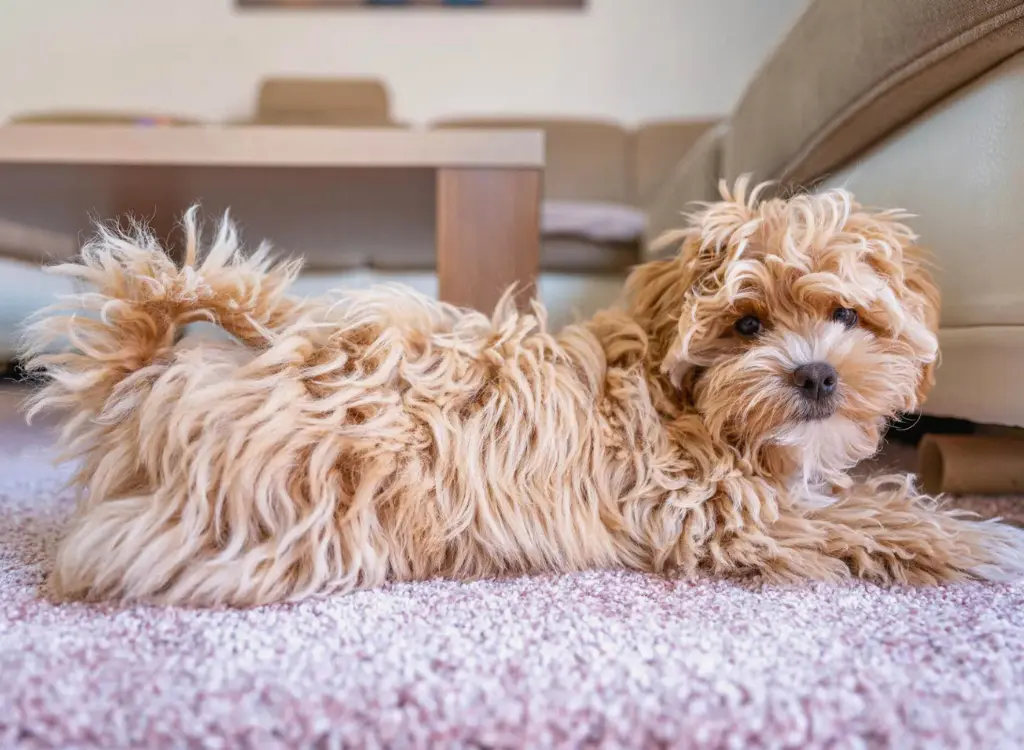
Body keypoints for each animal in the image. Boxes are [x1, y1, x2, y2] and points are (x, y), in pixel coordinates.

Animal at [19, 178, 1024, 606]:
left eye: (846, 314)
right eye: (744, 325)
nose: (815, 374)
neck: (686, 399)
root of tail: (153, 380)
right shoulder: (714, 513)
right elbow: (870, 514)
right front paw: (980, 538)